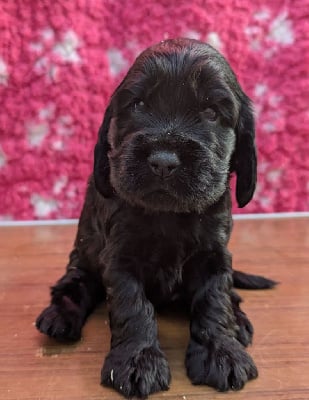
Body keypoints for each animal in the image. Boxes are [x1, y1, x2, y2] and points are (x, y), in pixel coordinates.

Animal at [36, 39, 274, 398]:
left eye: (211, 112)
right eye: (138, 104)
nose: (163, 161)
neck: (169, 215)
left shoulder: (214, 255)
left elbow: (214, 298)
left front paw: (221, 352)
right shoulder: (120, 258)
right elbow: (133, 306)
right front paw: (137, 361)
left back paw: (239, 320)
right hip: (83, 258)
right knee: (75, 283)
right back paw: (59, 316)